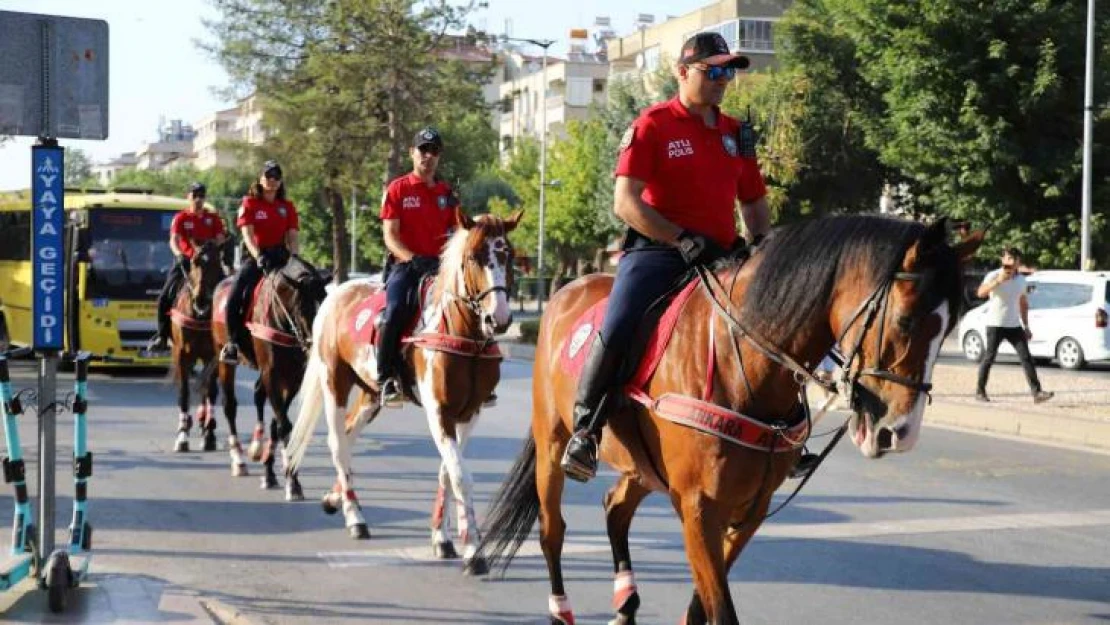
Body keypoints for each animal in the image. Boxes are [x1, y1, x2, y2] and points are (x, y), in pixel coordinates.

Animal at [168, 240, 225, 455]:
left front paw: (209, 434)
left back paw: (203, 422)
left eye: (217, 262)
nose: (201, 299)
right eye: (193, 262)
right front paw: (182, 435)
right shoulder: (182, 355)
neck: (200, 314)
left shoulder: (214, 356)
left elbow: (211, 391)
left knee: (206, 388)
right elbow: (184, 392)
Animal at [208, 251, 326, 501]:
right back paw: (239, 460)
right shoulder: (272, 374)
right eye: (302, 309)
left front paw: (272, 473)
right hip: (224, 358)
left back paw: (257, 448)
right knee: (229, 405)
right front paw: (293, 482)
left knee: (258, 396)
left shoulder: (293, 378)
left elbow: (278, 424)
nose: (314, 347)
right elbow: (284, 426)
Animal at [288, 209, 521, 572]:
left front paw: (443, 538)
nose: (498, 318)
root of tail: (337, 292)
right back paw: (355, 517)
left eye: (507, 254)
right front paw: (473, 549)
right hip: (334, 381)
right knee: (338, 443)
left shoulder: (469, 414)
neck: (462, 334)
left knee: (350, 434)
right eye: (473, 257)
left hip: (371, 393)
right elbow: (460, 475)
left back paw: (335, 498)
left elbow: (446, 472)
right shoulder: (439, 413)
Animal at [475, 216, 981, 625]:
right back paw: (561, 608)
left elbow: (703, 608)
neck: (747, 367)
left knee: (615, 509)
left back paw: (626, 601)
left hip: (642, 467)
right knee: (552, 530)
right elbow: (720, 611)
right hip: (552, 443)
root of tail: (566, 291)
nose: (900, 432)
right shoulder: (699, 508)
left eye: (950, 325)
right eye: (905, 320)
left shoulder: (749, 509)